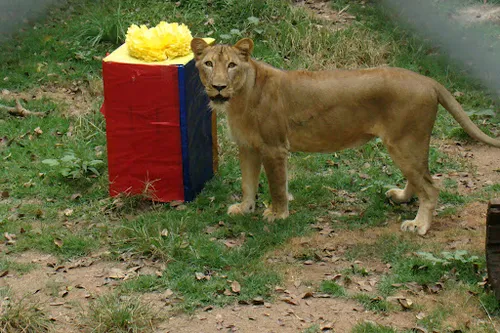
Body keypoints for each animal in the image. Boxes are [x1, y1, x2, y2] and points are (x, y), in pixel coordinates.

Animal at [189, 37, 498, 235]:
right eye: (208, 64)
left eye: (231, 65)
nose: (218, 87)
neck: (239, 98)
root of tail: (429, 80)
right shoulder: (248, 147)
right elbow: (248, 183)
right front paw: (245, 209)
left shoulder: (273, 148)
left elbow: (276, 186)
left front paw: (277, 214)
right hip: (407, 145)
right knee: (421, 178)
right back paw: (401, 198)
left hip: (405, 142)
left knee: (431, 187)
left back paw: (419, 225)